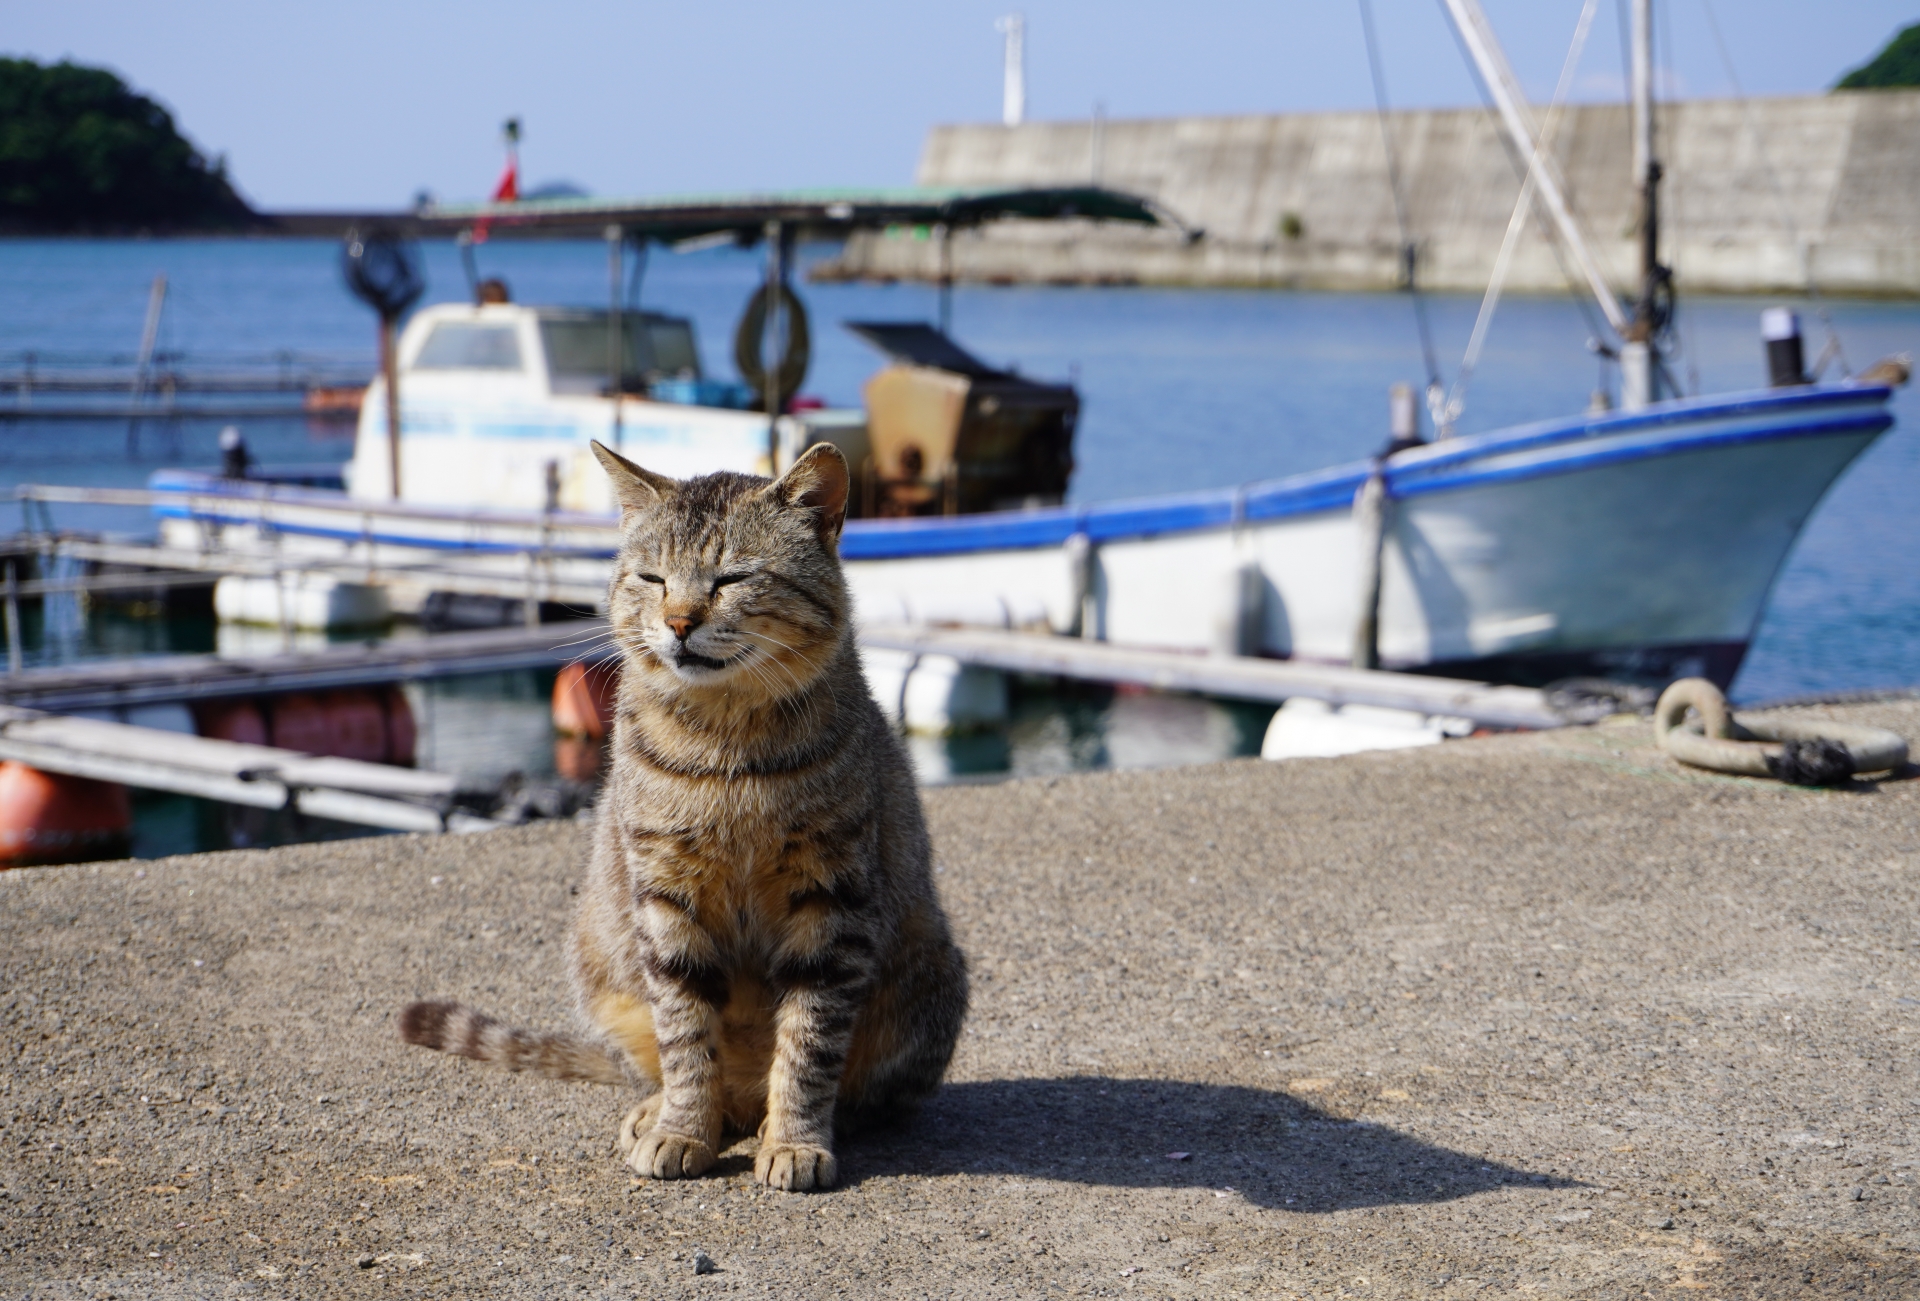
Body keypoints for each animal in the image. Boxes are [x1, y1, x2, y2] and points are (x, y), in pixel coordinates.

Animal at [405, 445, 975, 1189]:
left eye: (732, 577)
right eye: (653, 578)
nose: (679, 621)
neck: (723, 741)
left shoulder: (832, 898)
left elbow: (808, 1040)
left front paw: (794, 1137)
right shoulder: (666, 895)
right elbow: (685, 1032)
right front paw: (683, 1127)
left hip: (932, 975)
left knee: (865, 1090)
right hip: (599, 963)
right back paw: (666, 1110)